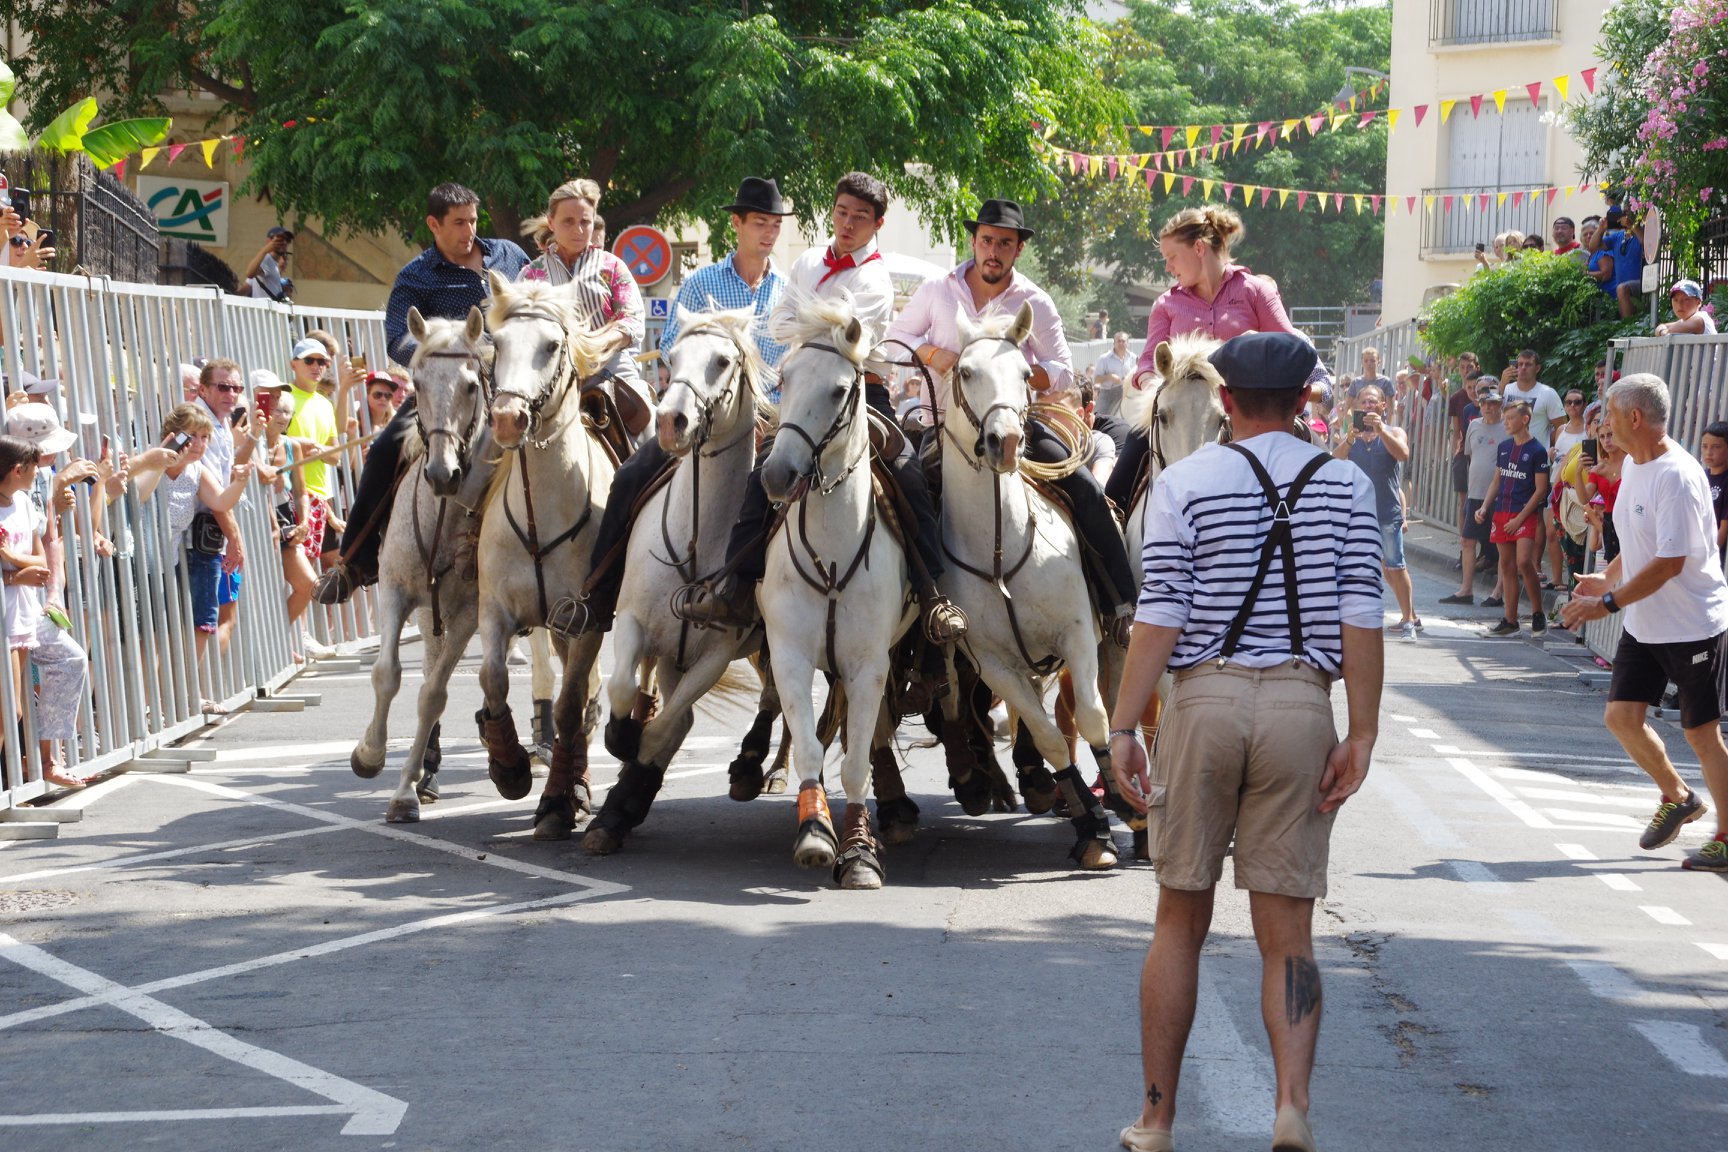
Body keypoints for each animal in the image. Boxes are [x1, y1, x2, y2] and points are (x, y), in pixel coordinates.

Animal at [347, 310, 490, 825]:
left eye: (471, 385)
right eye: (419, 382)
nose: (442, 473)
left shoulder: (469, 613)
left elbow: (433, 694)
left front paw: (404, 793)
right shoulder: (395, 591)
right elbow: (387, 673)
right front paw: (369, 755)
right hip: (430, 612)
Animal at [476, 276, 632, 842]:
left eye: (550, 346)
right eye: (496, 343)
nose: (507, 418)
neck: (541, 510)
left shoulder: (587, 621)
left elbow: (568, 709)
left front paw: (558, 803)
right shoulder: (496, 612)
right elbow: (494, 679)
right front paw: (509, 767)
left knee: (585, 700)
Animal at [577, 305, 774, 856]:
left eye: (724, 361)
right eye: (671, 356)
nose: (670, 421)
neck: (697, 535)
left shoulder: (715, 654)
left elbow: (667, 725)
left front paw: (628, 790)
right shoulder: (633, 625)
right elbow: (626, 688)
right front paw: (621, 745)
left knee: (771, 699)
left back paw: (752, 766)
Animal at [760, 293, 919, 891]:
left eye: (836, 390)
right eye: (783, 379)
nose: (777, 476)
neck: (831, 552)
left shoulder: (868, 663)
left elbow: (856, 763)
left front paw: (857, 850)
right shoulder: (789, 654)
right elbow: (808, 743)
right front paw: (814, 832)